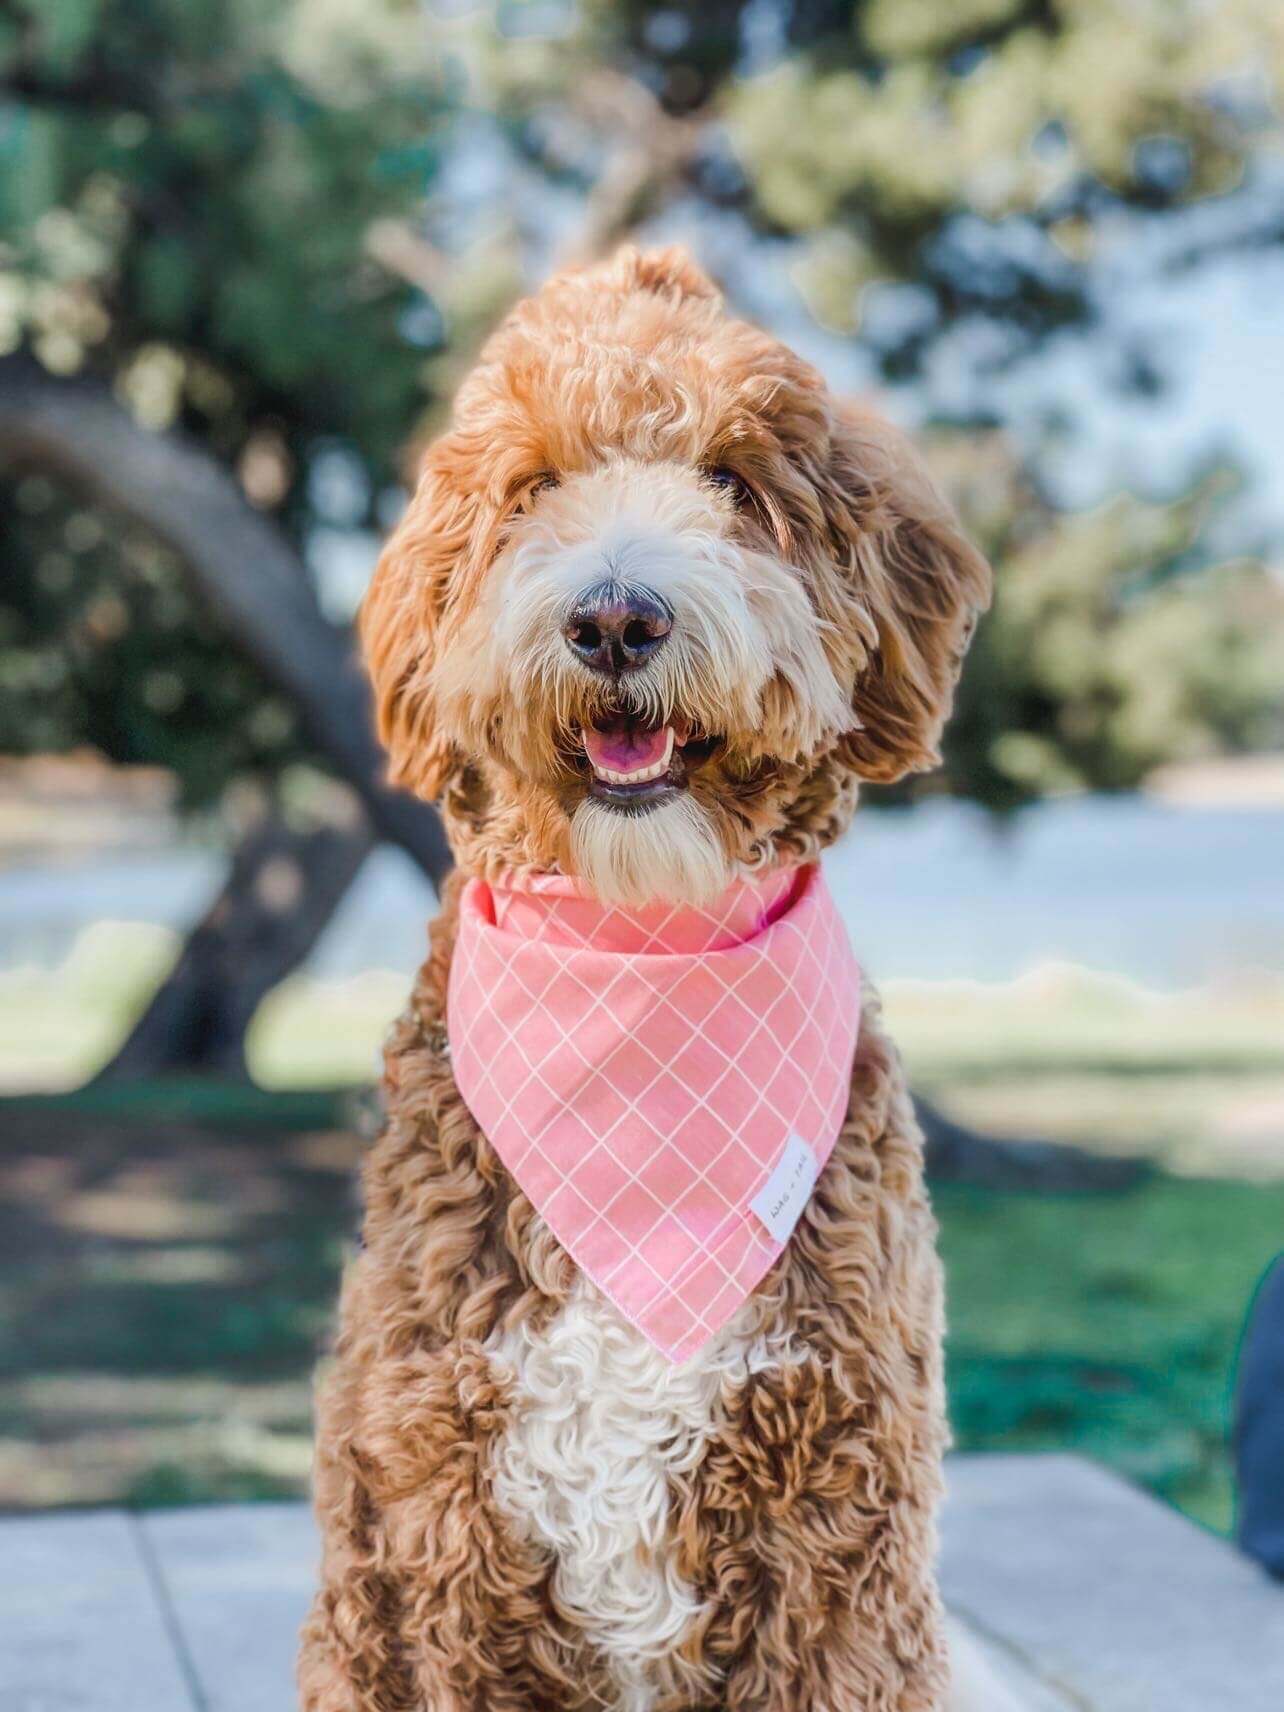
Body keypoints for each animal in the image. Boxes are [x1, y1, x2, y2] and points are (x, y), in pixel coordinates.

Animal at [301, 244, 1013, 1712]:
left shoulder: (838, 1534)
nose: (616, 617)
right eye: (533, 488)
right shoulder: (443, 1536)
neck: (639, 957)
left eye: (735, 482)